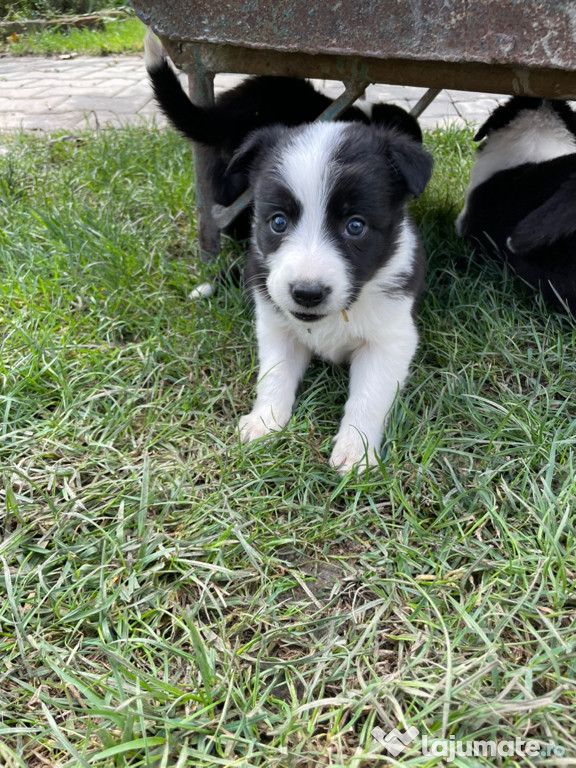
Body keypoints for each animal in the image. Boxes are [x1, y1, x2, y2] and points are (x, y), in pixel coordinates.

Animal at [232, 118, 434, 474]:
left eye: (355, 226)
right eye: (278, 222)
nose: (306, 293)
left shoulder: (390, 340)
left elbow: (369, 396)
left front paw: (356, 451)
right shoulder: (276, 327)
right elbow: (273, 375)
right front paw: (264, 422)